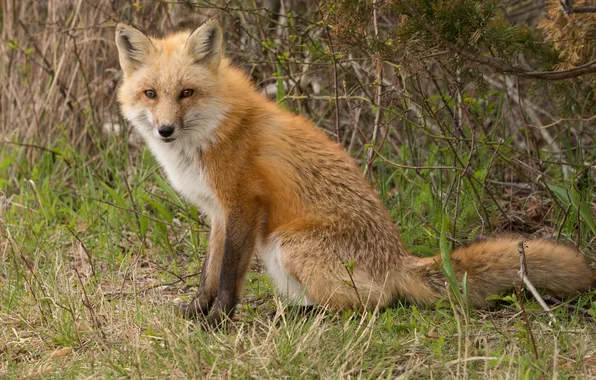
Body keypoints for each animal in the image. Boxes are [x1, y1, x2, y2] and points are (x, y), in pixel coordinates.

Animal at [114, 19, 592, 326]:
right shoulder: (219, 213)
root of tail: (399, 259)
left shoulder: (244, 204)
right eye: (151, 94)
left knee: (375, 302)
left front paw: (218, 320)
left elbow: (229, 274)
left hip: (287, 244)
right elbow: (210, 272)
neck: (211, 133)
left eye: (187, 93)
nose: (165, 129)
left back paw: (300, 316)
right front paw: (197, 312)